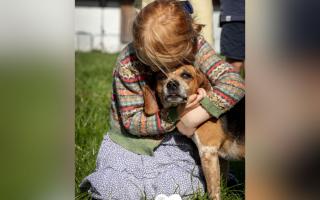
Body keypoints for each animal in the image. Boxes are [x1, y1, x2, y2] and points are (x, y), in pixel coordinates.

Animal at [143, 65, 245, 199]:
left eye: (186, 75)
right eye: (162, 77)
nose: (171, 84)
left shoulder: (208, 152)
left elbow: (213, 190)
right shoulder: (221, 158)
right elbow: (221, 184)